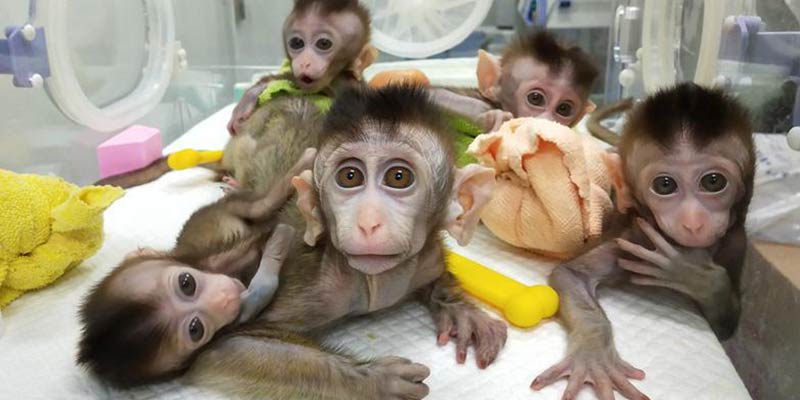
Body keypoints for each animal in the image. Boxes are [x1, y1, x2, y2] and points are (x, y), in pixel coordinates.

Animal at [78, 148, 316, 388]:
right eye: (195, 330)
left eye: (186, 283)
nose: (223, 299)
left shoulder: (212, 258)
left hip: (223, 207)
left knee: (259, 206)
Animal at [530, 82, 755, 400]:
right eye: (665, 185)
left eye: (713, 182)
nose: (693, 221)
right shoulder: (635, 237)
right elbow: (570, 274)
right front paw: (593, 353)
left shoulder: (737, 240)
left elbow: (727, 324)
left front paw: (692, 274)